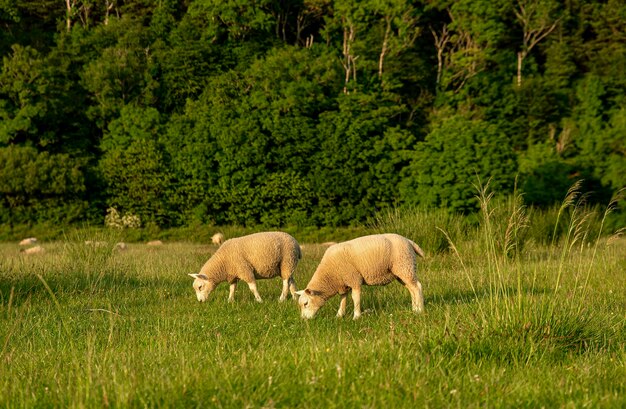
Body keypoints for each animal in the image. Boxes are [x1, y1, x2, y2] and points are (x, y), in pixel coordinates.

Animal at [294, 233, 424, 318]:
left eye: (306, 304)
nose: (304, 320)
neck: (329, 275)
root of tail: (409, 241)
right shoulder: (343, 283)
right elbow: (343, 298)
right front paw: (339, 315)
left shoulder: (354, 279)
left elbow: (355, 298)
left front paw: (356, 316)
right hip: (402, 271)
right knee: (411, 288)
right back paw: (414, 308)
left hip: (404, 265)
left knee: (417, 287)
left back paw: (420, 310)